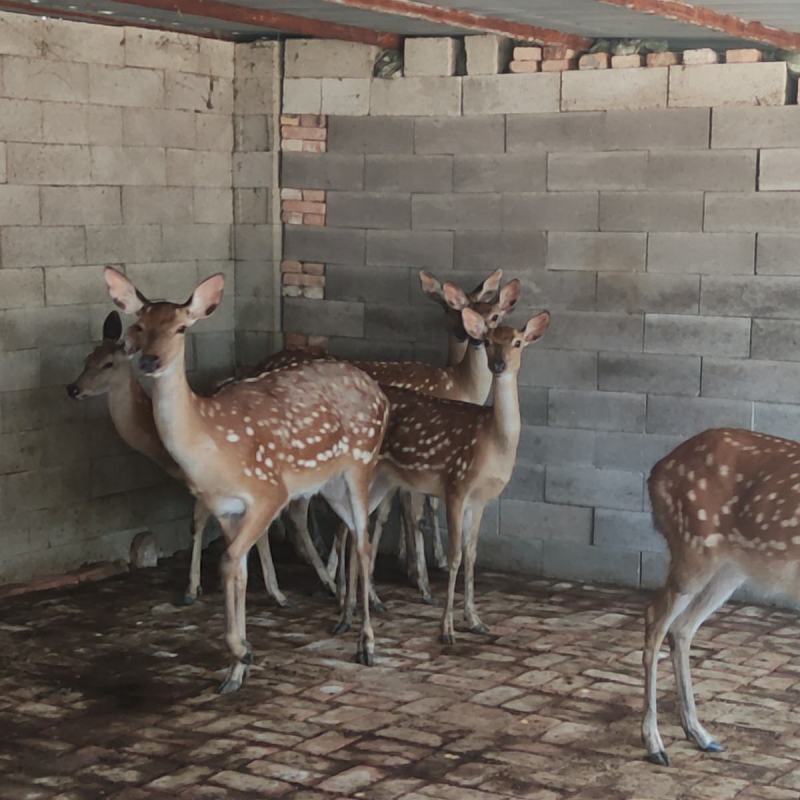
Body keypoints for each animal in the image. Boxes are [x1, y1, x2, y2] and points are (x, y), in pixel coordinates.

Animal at [67, 313, 336, 606]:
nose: (73, 388)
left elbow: (198, 524)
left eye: (108, 364)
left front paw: (196, 589)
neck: (158, 444)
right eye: (87, 358)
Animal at [104, 267, 390, 691]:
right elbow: (237, 571)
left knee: (365, 543)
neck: (214, 447)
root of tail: (380, 393)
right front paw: (236, 670)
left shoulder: (269, 491)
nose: (151, 360)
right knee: (355, 534)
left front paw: (242, 652)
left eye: (181, 328)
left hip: (361, 461)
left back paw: (367, 645)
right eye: (138, 325)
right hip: (330, 482)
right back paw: (345, 620)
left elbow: (227, 562)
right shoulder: (225, 507)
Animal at [337, 306, 550, 642]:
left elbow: (472, 554)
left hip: (382, 481)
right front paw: (447, 628)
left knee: (353, 531)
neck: (493, 442)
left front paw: (475, 620)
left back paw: (351, 612)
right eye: (488, 341)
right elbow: (454, 557)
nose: (499, 365)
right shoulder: (455, 485)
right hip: (366, 473)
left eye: (517, 342)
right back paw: (349, 613)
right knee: (348, 531)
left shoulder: (481, 500)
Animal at [643, 427, 800, 765]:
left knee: (682, 627)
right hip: (692, 550)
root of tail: (656, 471)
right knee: (655, 617)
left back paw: (699, 734)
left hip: (729, 569)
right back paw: (654, 743)